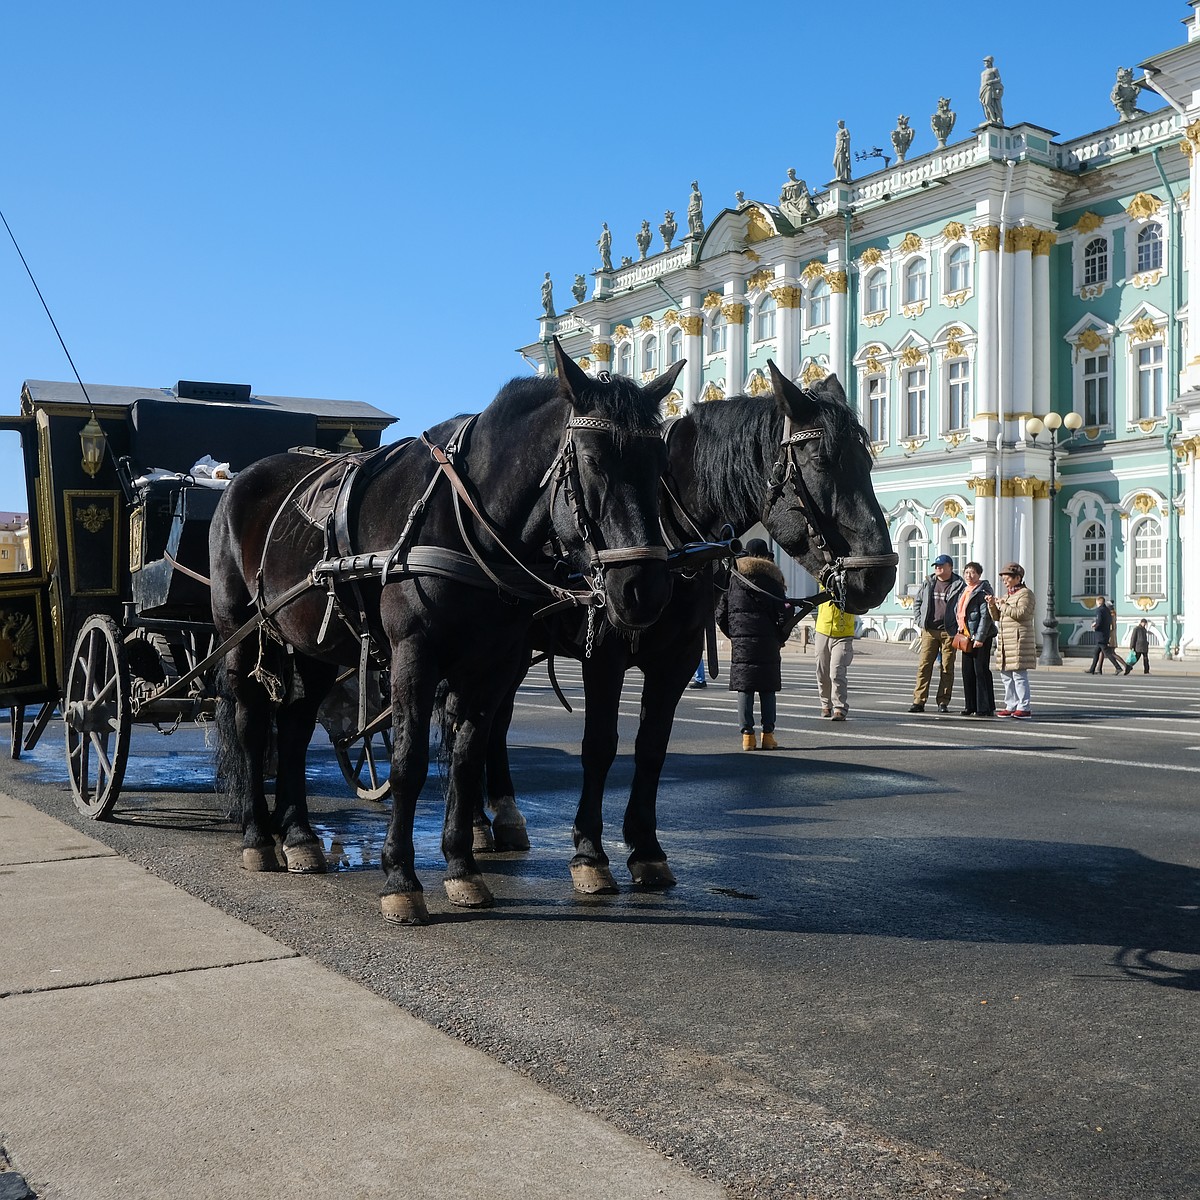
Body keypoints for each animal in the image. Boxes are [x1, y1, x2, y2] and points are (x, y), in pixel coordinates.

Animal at [210, 343, 681, 921]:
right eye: (593, 462)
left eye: (661, 466)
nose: (646, 589)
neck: (466, 523)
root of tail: (241, 477)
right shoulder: (415, 655)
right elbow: (408, 763)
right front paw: (400, 878)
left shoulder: (493, 664)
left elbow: (465, 758)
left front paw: (461, 869)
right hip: (241, 635)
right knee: (253, 724)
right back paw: (259, 836)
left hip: (313, 648)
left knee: (296, 727)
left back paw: (298, 835)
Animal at [472, 357, 897, 892]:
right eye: (821, 461)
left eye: (867, 460)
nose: (880, 575)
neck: (670, 534)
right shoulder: (604, 655)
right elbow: (600, 746)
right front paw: (590, 853)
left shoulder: (677, 659)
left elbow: (652, 747)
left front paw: (647, 850)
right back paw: (479, 824)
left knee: (492, 720)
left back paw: (503, 816)